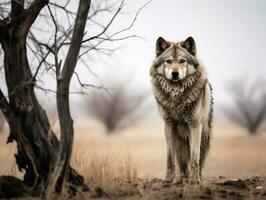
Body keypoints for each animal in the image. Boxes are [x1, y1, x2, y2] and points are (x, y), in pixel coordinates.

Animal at [151, 36, 213, 184]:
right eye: (168, 61)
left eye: (182, 61)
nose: (175, 73)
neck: (176, 94)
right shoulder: (168, 124)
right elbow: (170, 158)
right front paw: (168, 180)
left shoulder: (195, 125)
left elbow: (195, 158)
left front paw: (194, 181)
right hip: (179, 141)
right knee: (181, 162)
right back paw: (180, 179)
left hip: (203, 136)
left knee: (198, 158)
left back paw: (194, 178)